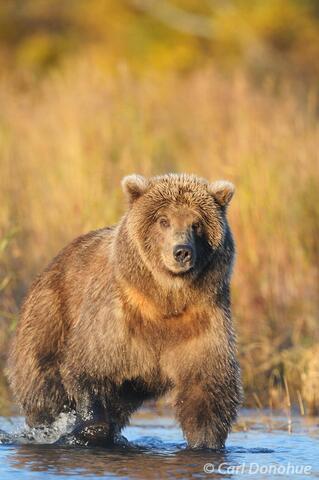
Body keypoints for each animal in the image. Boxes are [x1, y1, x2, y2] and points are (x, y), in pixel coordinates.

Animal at [6, 173, 242, 450]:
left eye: (196, 223)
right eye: (163, 220)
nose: (182, 251)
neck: (164, 302)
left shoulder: (201, 322)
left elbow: (206, 389)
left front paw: (205, 443)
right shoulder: (116, 319)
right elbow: (90, 371)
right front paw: (81, 431)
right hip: (49, 315)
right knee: (43, 386)